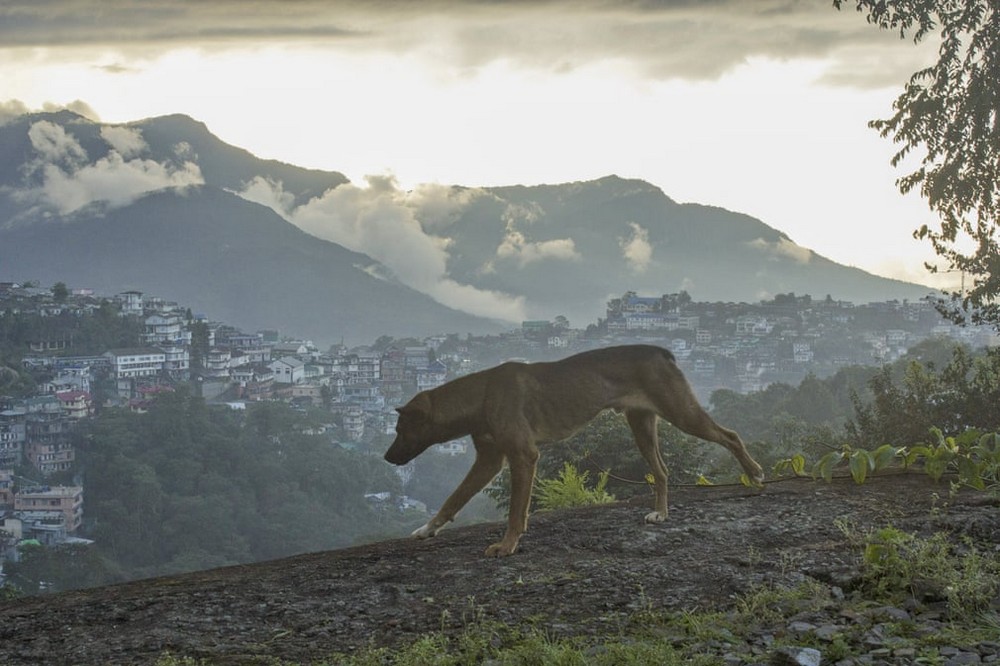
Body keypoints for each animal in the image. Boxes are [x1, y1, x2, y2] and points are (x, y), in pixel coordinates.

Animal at [384, 342, 764, 556]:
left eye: (401, 430)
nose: (387, 457)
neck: (479, 396)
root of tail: (661, 351)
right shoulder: (489, 459)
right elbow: (455, 498)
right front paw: (428, 529)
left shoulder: (523, 455)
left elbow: (514, 512)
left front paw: (507, 546)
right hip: (641, 424)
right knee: (662, 470)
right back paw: (661, 513)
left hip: (681, 412)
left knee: (730, 436)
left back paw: (755, 474)